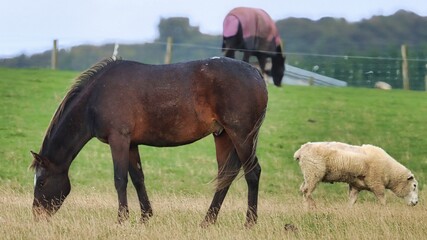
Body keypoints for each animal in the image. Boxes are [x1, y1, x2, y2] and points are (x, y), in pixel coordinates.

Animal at [30, 56, 268, 227]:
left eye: (41, 182)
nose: (36, 216)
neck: (96, 96)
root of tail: (256, 73)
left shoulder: (119, 139)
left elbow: (120, 179)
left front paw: (122, 220)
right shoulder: (131, 143)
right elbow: (138, 178)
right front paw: (145, 217)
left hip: (241, 135)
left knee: (252, 173)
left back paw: (250, 222)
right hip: (223, 136)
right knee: (225, 176)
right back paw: (207, 221)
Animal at [292, 141, 420, 208]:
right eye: (414, 186)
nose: (416, 202)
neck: (390, 172)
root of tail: (300, 152)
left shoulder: (355, 186)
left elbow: (352, 201)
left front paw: (348, 211)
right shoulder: (377, 184)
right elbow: (383, 200)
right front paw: (385, 210)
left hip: (308, 174)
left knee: (302, 189)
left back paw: (306, 207)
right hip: (313, 173)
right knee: (307, 191)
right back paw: (312, 207)